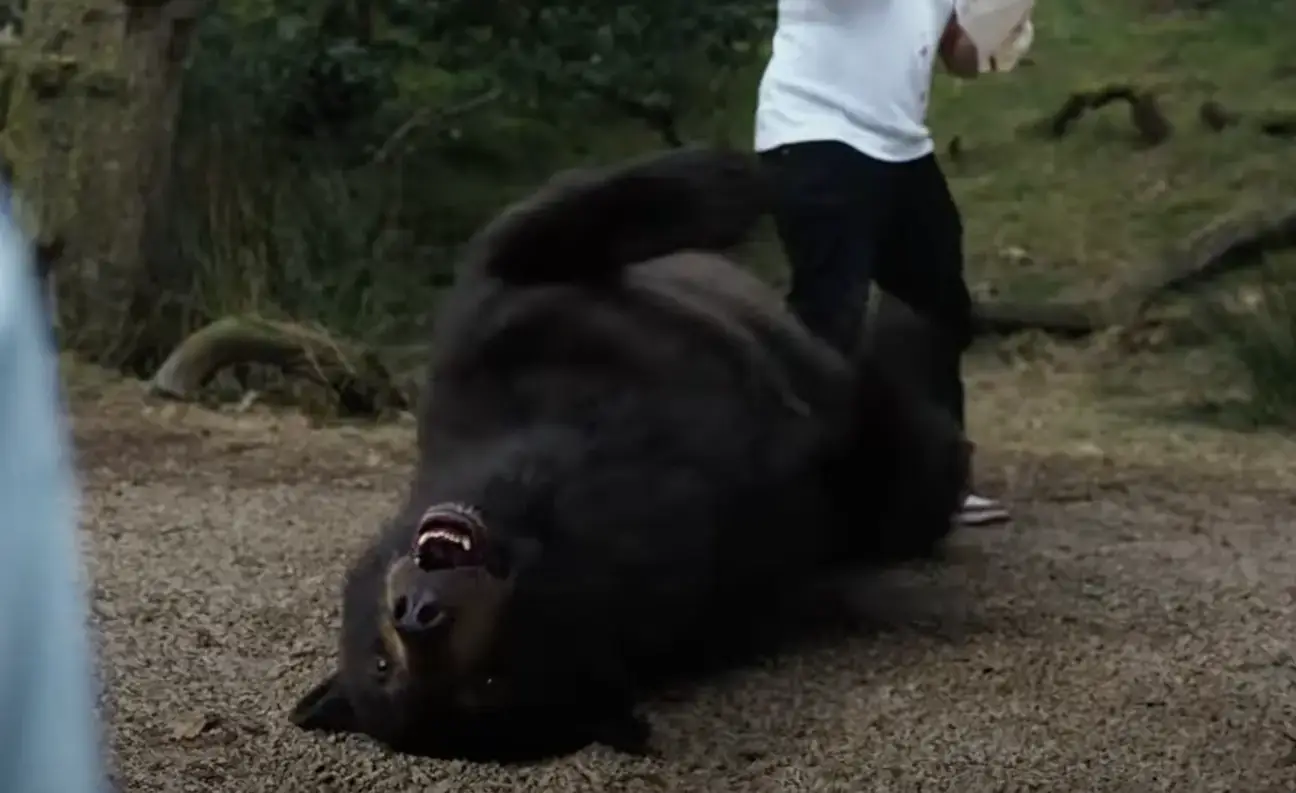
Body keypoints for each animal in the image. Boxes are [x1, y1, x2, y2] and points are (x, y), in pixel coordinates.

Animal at [289, 146, 970, 761]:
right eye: (385, 666)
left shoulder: (488, 328)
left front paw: (731, 181)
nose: (418, 614)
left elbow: (543, 226)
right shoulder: (744, 552)